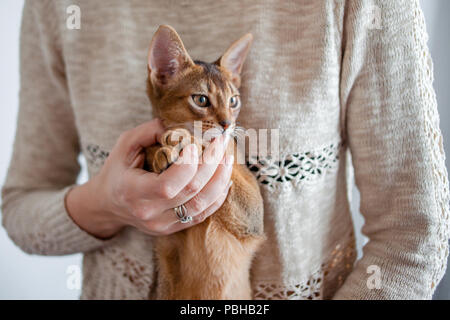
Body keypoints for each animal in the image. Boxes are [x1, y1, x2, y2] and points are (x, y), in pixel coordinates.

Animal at [144, 25, 264, 300]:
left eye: (233, 101)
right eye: (201, 100)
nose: (227, 124)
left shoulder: (254, 216)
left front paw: (185, 141)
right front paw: (159, 152)